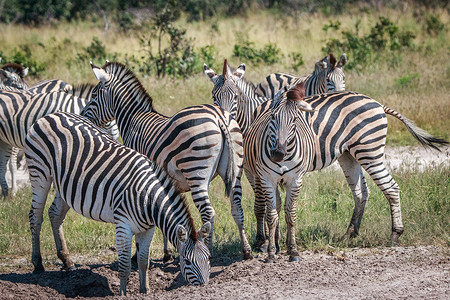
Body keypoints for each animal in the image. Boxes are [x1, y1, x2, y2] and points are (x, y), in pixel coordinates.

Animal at [25, 112, 212, 296]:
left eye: (209, 258)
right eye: (186, 261)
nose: (204, 288)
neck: (148, 199)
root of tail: (51, 115)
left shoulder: (148, 229)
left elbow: (143, 261)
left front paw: (145, 290)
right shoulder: (123, 225)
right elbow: (124, 267)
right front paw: (123, 294)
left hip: (64, 185)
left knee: (55, 214)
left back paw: (67, 260)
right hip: (40, 173)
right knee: (35, 217)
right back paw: (38, 264)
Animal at [81, 61, 253, 260]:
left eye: (93, 96)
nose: (83, 115)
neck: (133, 120)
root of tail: (220, 117)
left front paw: (142, 254)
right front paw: (167, 252)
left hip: (196, 172)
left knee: (208, 213)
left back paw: (209, 251)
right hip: (235, 171)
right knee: (237, 208)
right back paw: (246, 250)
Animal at [243, 84, 446, 260]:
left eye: (294, 121)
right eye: (272, 118)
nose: (278, 154)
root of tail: (378, 103)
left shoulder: (253, 173)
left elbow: (261, 206)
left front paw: (262, 242)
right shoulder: (261, 174)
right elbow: (273, 207)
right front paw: (273, 244)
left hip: (369, 151)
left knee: (391, 188)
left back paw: (395, 234)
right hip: (349, 155)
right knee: (361, 192)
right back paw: (350, 233)